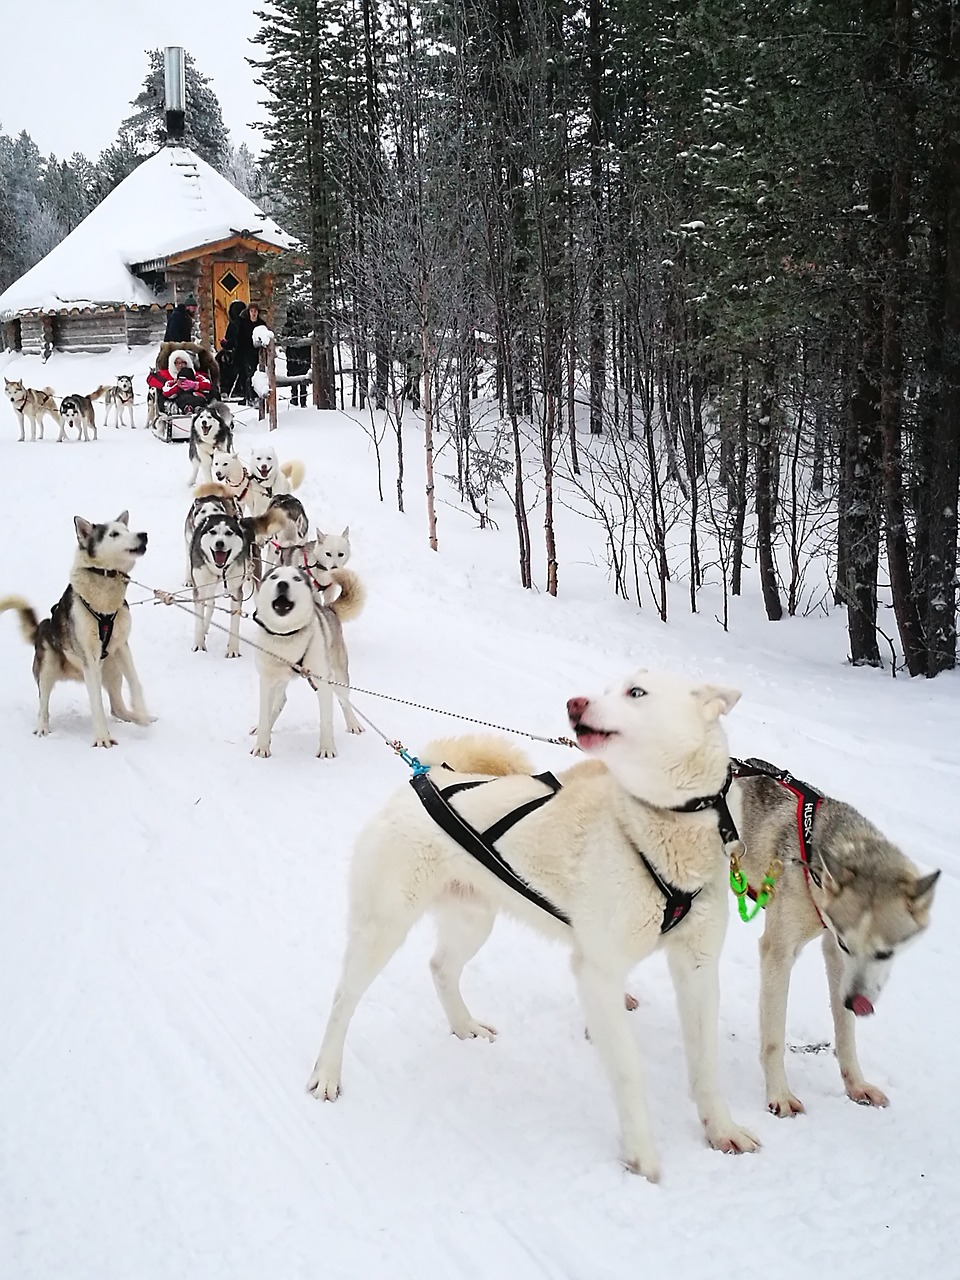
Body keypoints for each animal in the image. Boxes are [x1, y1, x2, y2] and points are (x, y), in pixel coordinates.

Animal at [0, 512, 151, 747]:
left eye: (128, 530)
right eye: (114, 534)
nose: (143, 535)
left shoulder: (121, 647)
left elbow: (135, 683)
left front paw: (142, 715)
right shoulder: (89, 657)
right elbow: (96, 701)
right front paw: (102, 738)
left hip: (111, 667)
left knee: (117, 708)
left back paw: (134, 716)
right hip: (48, 666)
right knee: (43, 705)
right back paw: (42, 727)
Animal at [249, 563, 363, 757]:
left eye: (296, 579)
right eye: (274, 577)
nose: (282, 584)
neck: (286, 635)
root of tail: (329, 609)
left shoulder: (323, 684)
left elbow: (326, 721)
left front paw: (327, 749)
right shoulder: (267, 681)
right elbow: (264, 716)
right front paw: (262, 747)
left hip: (339, 675)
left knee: (345, 701)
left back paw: (353, 724)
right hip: (280, 679)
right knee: (279, 702)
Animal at [308, 670, 757, 1177]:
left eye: (636, 692)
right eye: (609, 688)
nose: (575, 702)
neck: (656, 828)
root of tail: (426, 776)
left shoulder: (698, 968)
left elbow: (706, 1067)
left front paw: (722, 1130)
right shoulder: (598, 974)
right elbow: (628, 1072)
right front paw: (641, 1154)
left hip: (473, 921)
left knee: (441, 968)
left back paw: (464, 1025)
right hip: (382, 928)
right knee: (343, 999)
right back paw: (326, 1073)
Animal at [737, 762, 942, 1116]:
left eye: (886, 954)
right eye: (849, 946)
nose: (856, 1003)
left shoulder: (834, 953)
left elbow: (845, 1033)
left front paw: (856, 1085)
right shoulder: (779, 953)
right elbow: (774, 1039)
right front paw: (779, 1095)